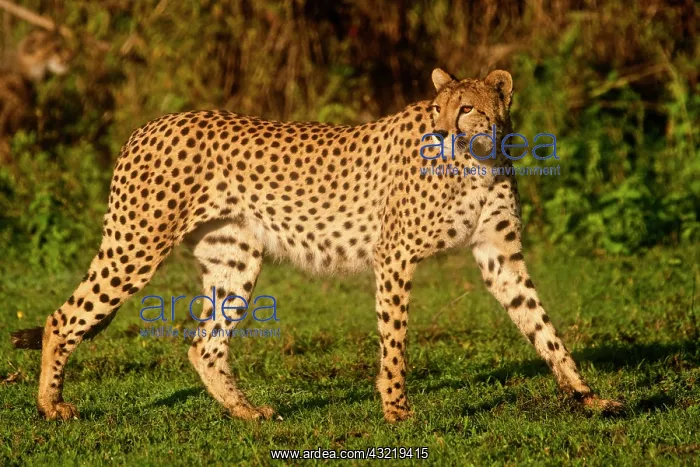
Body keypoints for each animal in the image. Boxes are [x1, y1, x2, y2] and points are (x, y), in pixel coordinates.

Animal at [11, 68, 622, 422]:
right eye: (439, 108)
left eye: (468, 106)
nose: (446, 128)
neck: (476, 158)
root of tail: (151, 124)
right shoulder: (394, 255)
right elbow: (395, 340)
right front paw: (397, 410)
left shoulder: (500, 257)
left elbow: (543, 327)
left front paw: (588, 396)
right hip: (137, 243)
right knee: (63, 317)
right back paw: (51, 406)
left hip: (234, 259)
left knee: (205, 345)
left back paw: (248, 413)